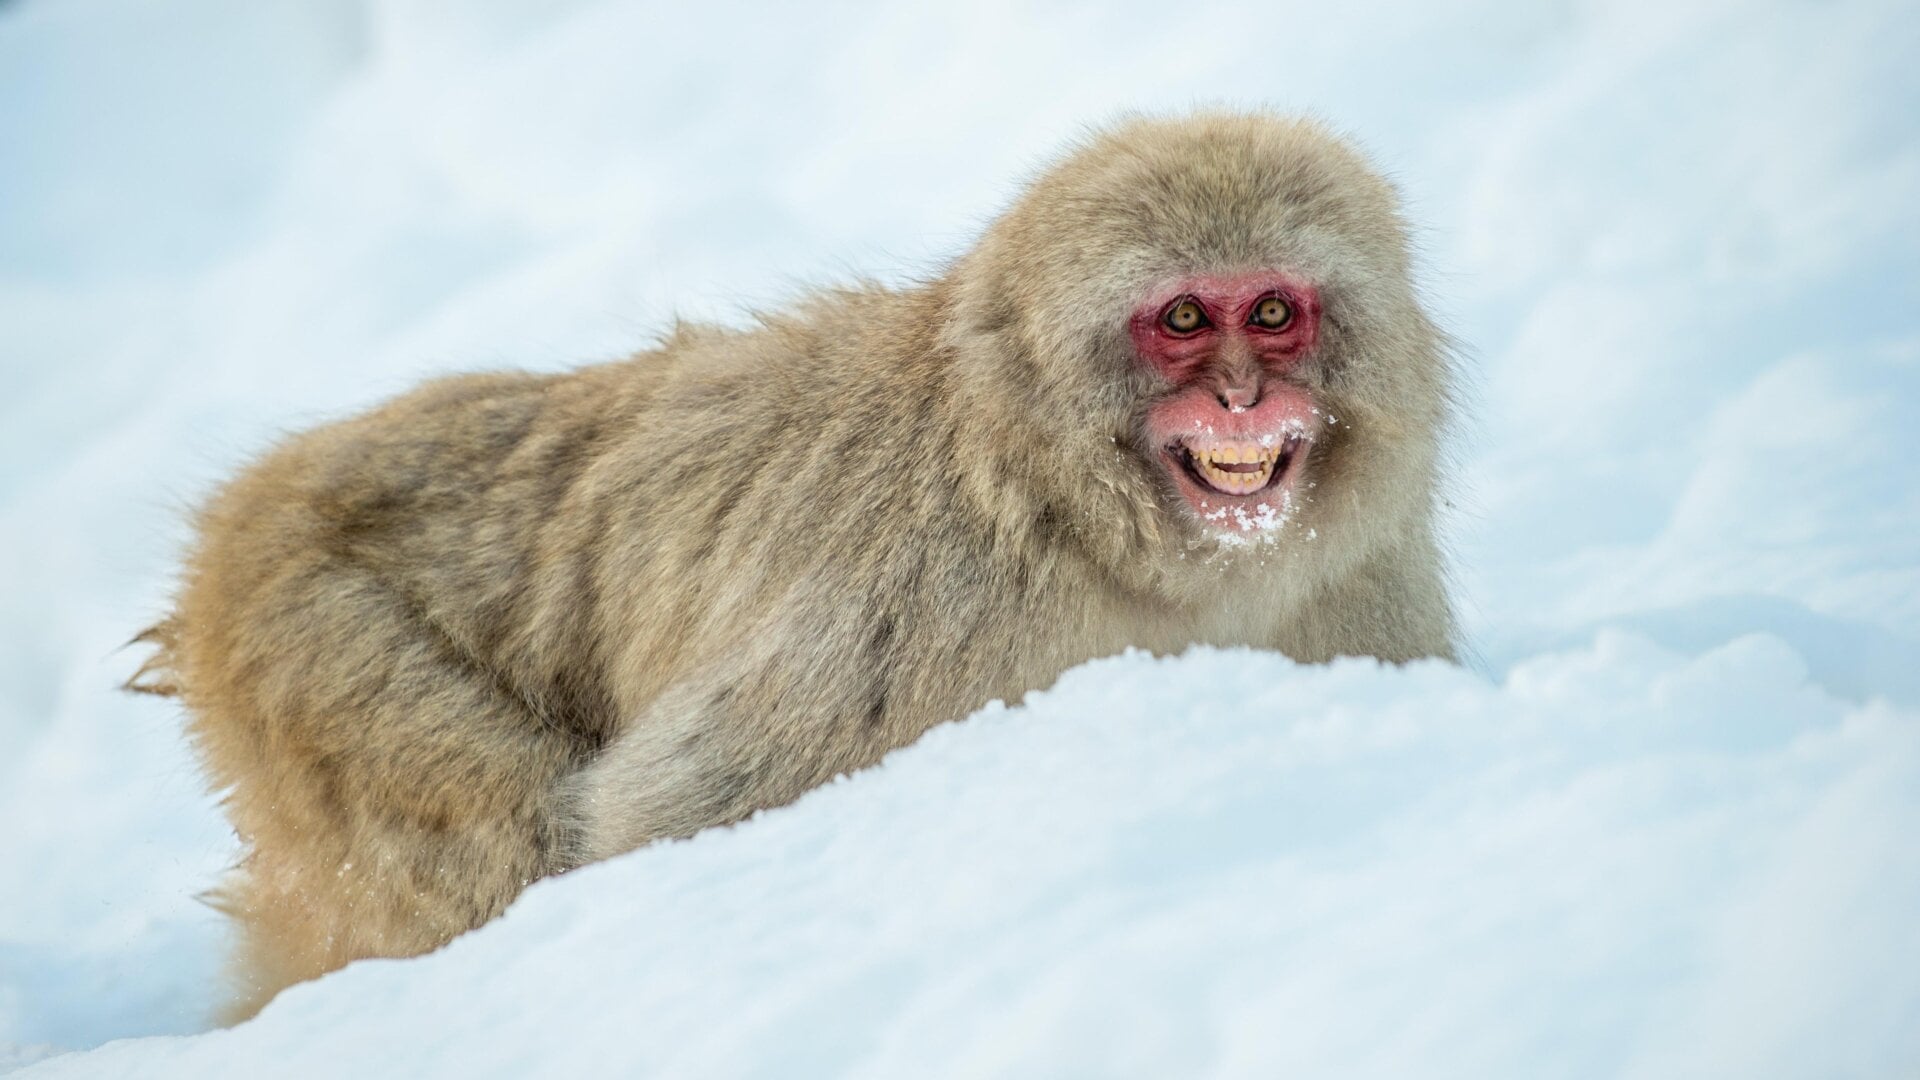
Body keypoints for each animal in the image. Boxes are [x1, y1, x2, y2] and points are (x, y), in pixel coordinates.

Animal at [129, 110, 1457, 1019]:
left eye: (1272, 312)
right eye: (1185, 320)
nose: (1241, 396)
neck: (1079, 516)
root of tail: (251, 504)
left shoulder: (1358, 587)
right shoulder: (937, 607)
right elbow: (668, 811)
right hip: (314, 645)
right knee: (492, 831)